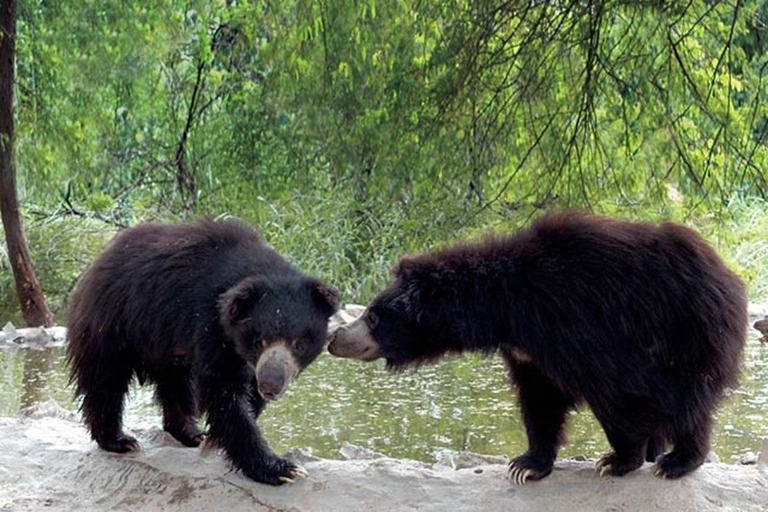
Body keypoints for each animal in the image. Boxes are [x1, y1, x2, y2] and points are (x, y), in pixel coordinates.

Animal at [67, 219, 340, 484]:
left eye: (299, 343)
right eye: (258, 341)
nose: (270, 387)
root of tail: (96, 263)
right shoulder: (210, 322)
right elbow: (224, 393)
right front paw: (282, 468)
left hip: (163, 342)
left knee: (176, 383)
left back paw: (190, 433)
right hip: (113, 323)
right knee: (106, 381)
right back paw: (119, 440)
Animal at [328, 212, 748, 484]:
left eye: (374, 316)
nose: (335, 339)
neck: (507, 310)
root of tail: (729, 275)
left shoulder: (581, 324)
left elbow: (613, 392)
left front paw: (617, 460)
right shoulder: (527, 352)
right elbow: (540, 401)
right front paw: (527, 465)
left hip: (689, 333)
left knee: (687, 401)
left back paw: (675, 460)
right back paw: (658, 452)